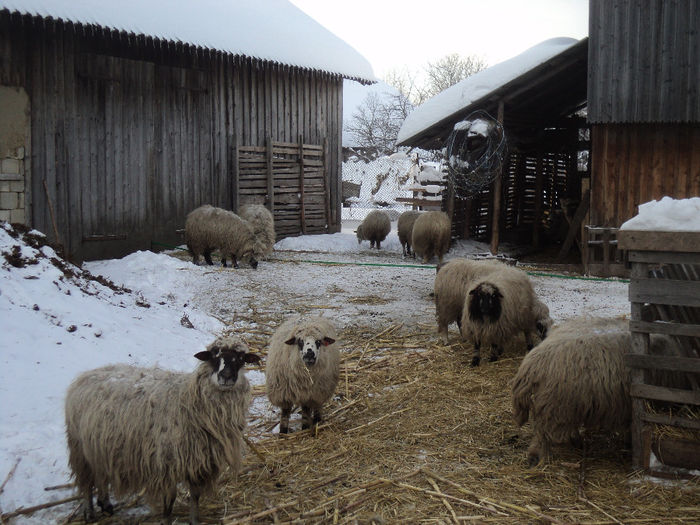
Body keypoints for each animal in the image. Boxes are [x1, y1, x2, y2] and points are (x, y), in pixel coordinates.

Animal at [64, 334, 262, 520]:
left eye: (242, 358)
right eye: (214, 355)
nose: (226, 376)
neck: (189, 402)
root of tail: (85, 375)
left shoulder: (198, 464)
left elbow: (195, 497)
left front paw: (194, 520)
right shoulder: (166, 464)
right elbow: (169, 504)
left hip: (99, 444)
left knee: (101, 474)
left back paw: (105, 504)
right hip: (79, 447)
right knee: (86, 480)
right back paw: (89, 511)